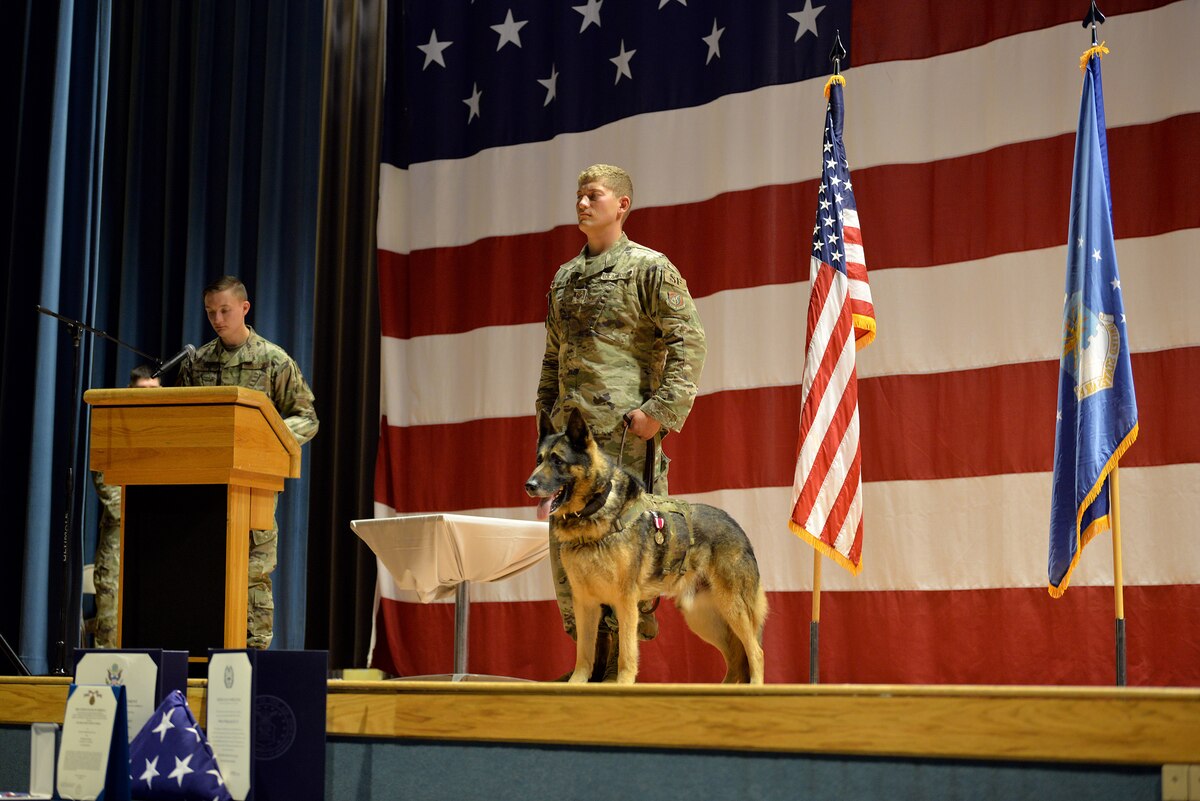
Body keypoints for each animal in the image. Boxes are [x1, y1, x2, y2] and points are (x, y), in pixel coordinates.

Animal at [525, 410, 768, 685]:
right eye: (539, 460)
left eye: (558, 461)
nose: (529, 485)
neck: (594, 511)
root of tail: (736, 525)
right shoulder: (585, 603)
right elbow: (584, 655)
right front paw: (576, 684)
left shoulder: (625, 601)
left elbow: (626, 652)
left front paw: (622, 683)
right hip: (702, 616)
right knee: (737, 660)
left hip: (732, 607)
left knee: (755, 652)